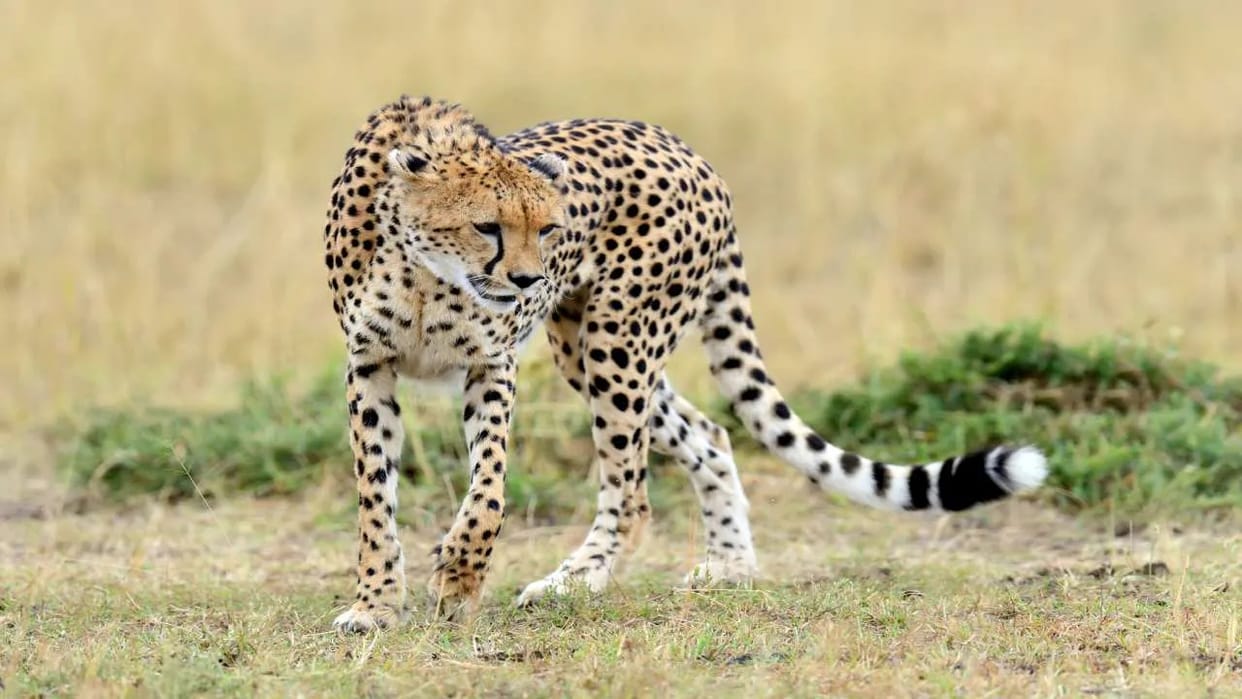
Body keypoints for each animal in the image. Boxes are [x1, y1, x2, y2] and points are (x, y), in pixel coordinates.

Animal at [323, 95, 1048, 632]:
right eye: (486, 226)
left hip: (616, 337)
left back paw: (574, 580)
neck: (424, 270)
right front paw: (376, 604)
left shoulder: (491, 367)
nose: (528, 280)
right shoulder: (369, 367)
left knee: (633, 491)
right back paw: (729, 566)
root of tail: (690, 152)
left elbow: (489, 493)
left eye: (549, 228)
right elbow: (374, 501)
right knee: (711, 433)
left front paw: (459, 578)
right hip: (587, 347)